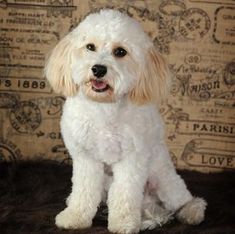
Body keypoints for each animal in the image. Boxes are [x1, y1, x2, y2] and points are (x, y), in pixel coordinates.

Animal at [44, 9, 206, 234]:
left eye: (120, 52)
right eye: (90, 47)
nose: (98, 69)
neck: (104, 106)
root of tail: (149, 204)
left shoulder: (132, 160)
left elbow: (125, 194)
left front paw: (123, 223)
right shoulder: (86, 159)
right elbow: (84, 191)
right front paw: (75, 216)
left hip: (163, 178)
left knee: (185, 200)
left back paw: (191, 212)